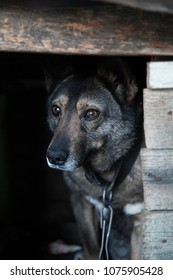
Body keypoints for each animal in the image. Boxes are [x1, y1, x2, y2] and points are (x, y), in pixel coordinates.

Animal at [44, 55, 143, 260]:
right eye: (56, 110)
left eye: (91, 114)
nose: (54, 157)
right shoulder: (80, 202)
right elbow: (90, 249)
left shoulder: (140, 221)